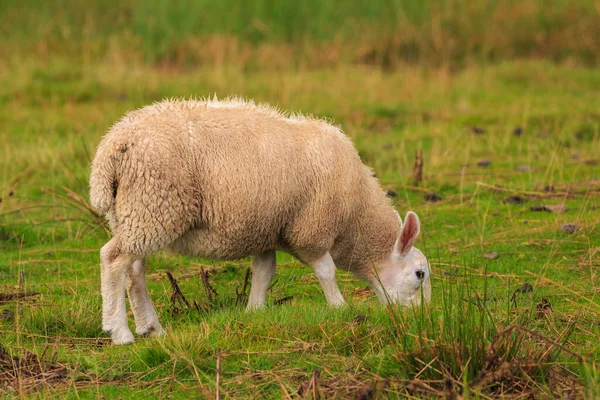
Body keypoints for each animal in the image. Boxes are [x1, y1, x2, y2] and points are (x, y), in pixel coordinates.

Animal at [89, 97, 428, 344]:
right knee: (114, 260)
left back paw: (152, 328)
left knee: (135, 269)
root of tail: (112, 145)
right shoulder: (312, 228)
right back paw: (120, 332)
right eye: (420, 274)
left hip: (134, 213)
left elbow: (264, 272)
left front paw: (254, 311)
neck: (356, 214)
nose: (421, 319)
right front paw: (339, 307)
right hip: (154, 203)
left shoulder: (268, 231)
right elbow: (326, 271)